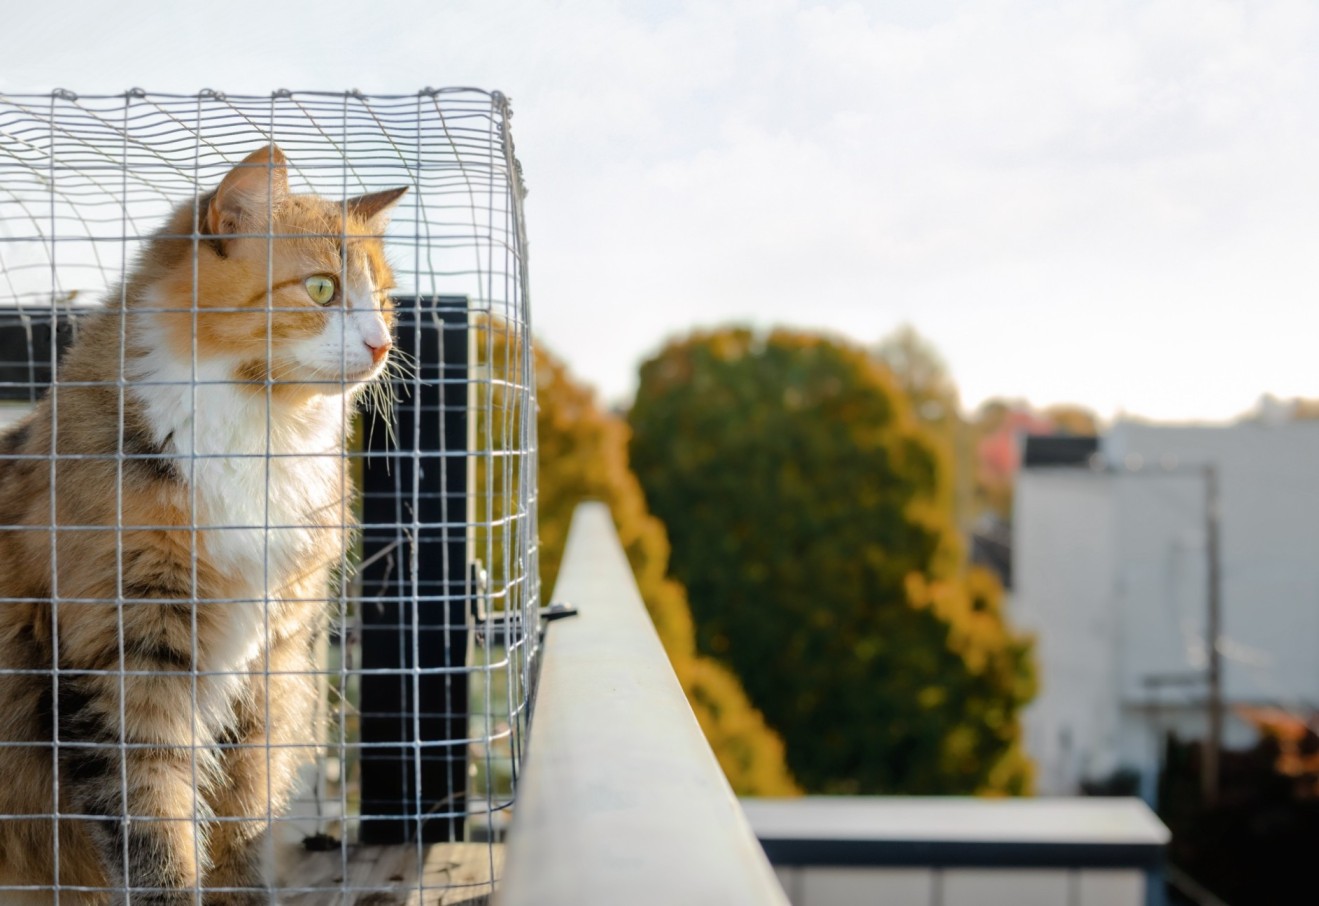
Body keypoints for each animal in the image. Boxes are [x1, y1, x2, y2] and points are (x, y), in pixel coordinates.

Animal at [0, 145, 406, 902]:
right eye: (322, 289)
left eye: (386, 299)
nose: (381, 345)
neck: (265, 435)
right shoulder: (128, 656)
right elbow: (156, 826)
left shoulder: (268, 664)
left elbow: (236, 825)